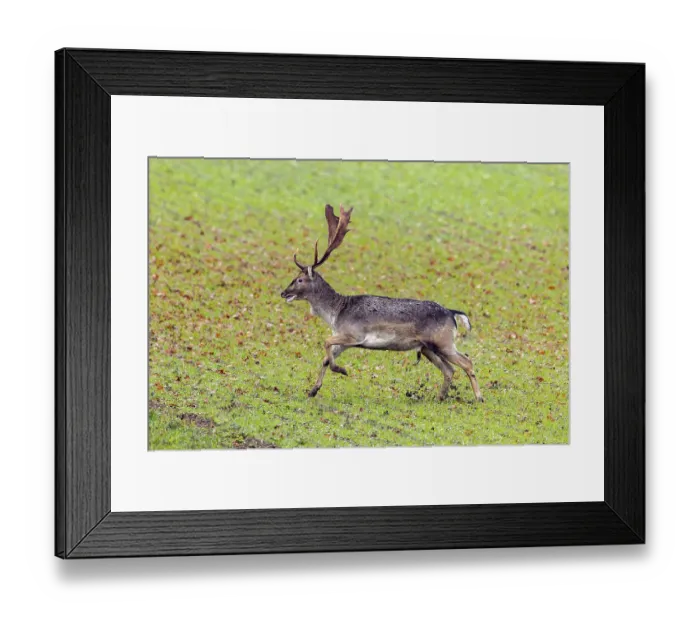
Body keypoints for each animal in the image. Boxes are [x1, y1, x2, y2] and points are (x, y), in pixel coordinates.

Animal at [281, 205, 484, 403]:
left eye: (299, 280)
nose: (283, 293)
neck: (335, 314)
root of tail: (452, 313)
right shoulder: (345, 339)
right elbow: (325, 358)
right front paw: (313, 391)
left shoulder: (354, 334)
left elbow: (326, 341)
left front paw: (342, 370)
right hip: (428, 348)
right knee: (450, 369)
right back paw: (440, 397)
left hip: (443, 342)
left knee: (467, 362)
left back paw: (479, 398)